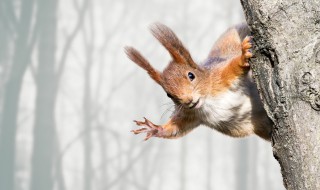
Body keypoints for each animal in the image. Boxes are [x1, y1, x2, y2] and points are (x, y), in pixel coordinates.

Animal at [124, 22, 272, 141]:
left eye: (191, 75)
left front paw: (243, 55)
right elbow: (176, 128)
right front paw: (154, 128)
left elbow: (234, 67)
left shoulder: (221, 76)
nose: (188, 101)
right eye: (168, 94)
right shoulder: (190, 115)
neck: (208, 101)